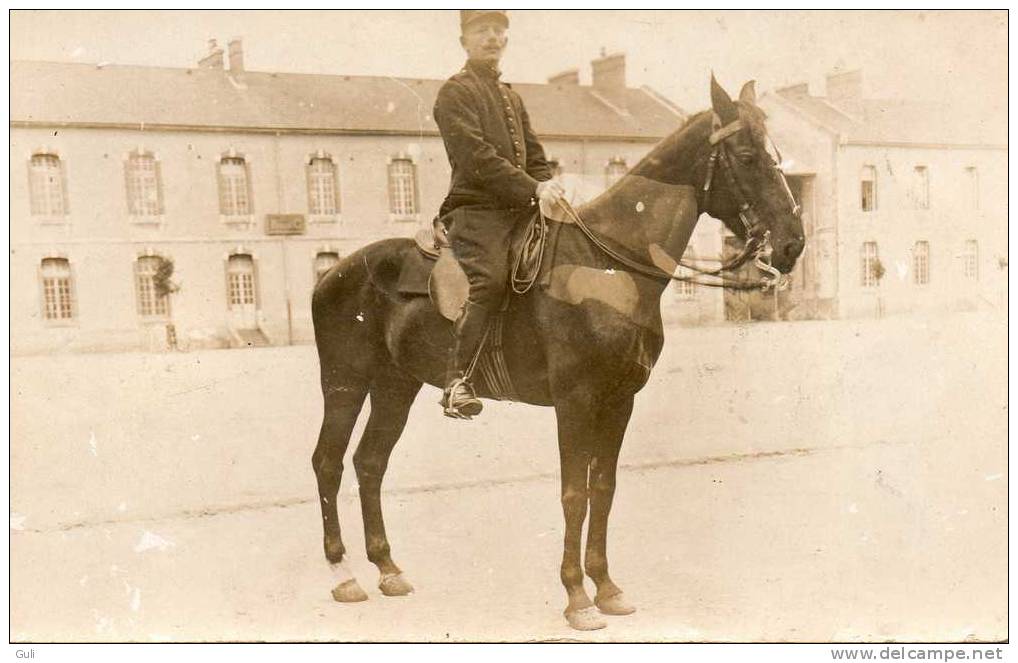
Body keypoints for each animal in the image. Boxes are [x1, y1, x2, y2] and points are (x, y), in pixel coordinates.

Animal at [309, 75, 802, 631]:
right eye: (747, 156)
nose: (793, 244)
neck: (608, 265)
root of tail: (332, 271)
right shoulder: (574, 402)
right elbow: (573, 495)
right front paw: (576, 597)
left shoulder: (618, 402)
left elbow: (603, 489)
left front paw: (606, 587)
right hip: (345, 384)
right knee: (328, 463)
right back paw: (343, 575)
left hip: (396, 387)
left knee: (370, 463)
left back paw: (388, 568)